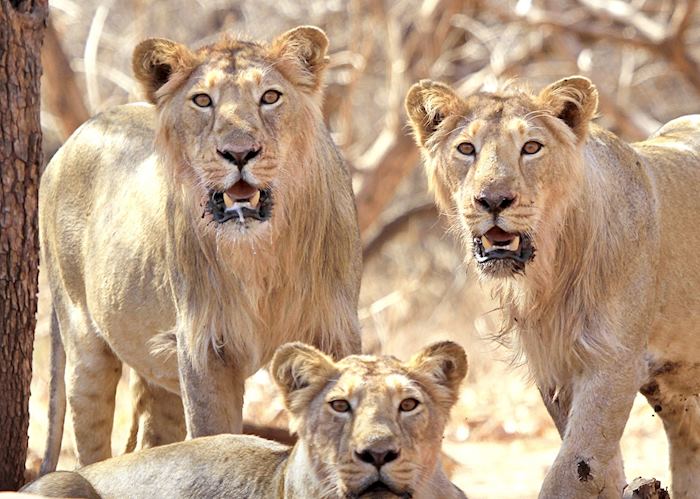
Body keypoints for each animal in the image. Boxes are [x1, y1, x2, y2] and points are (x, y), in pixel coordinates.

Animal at [39, 25, 360, 474]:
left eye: (270, 97)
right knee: (92, 446)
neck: (262, 253)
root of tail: (75, 135)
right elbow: (214, 436)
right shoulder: (204, 347)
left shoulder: (335, 331)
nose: (239, 153)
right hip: (85, 345)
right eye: (203, 100)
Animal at [404, 75, 700, 499]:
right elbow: (600, 468)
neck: (552, 269)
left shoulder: (614, 361)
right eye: (466, 149)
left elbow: (578, 467)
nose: (493, 200)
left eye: (531, 147)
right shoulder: (554, 367)